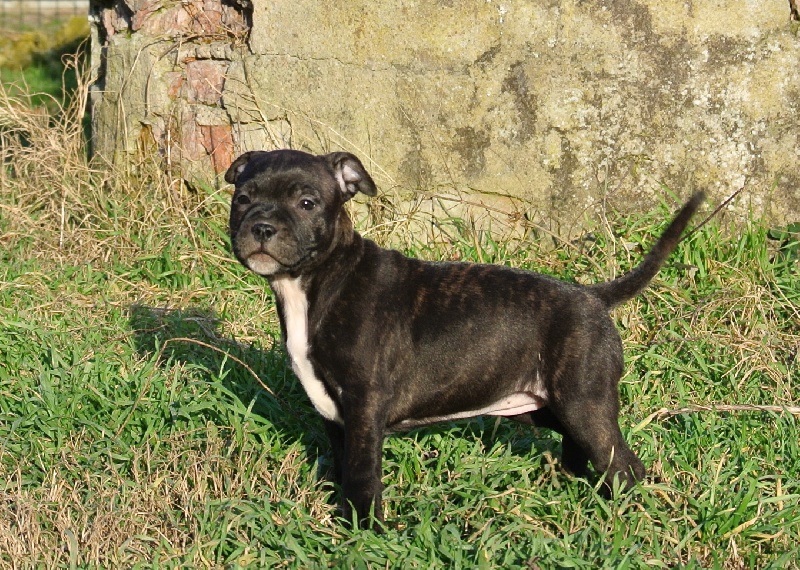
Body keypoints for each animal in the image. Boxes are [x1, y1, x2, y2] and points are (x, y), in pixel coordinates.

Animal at [227, 150, 708, 528]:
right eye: (243, 198)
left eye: (306, 203)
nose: (262, 226)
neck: (315, 282)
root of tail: (592, 297)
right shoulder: (334, 413)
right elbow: (345, 468)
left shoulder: (364, 406)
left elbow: (362, 476)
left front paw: (365, 533)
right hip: (544, 405)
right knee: (581, 446)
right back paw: (574, 486)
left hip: (582, 402)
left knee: (623, 465)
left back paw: (621, 516)